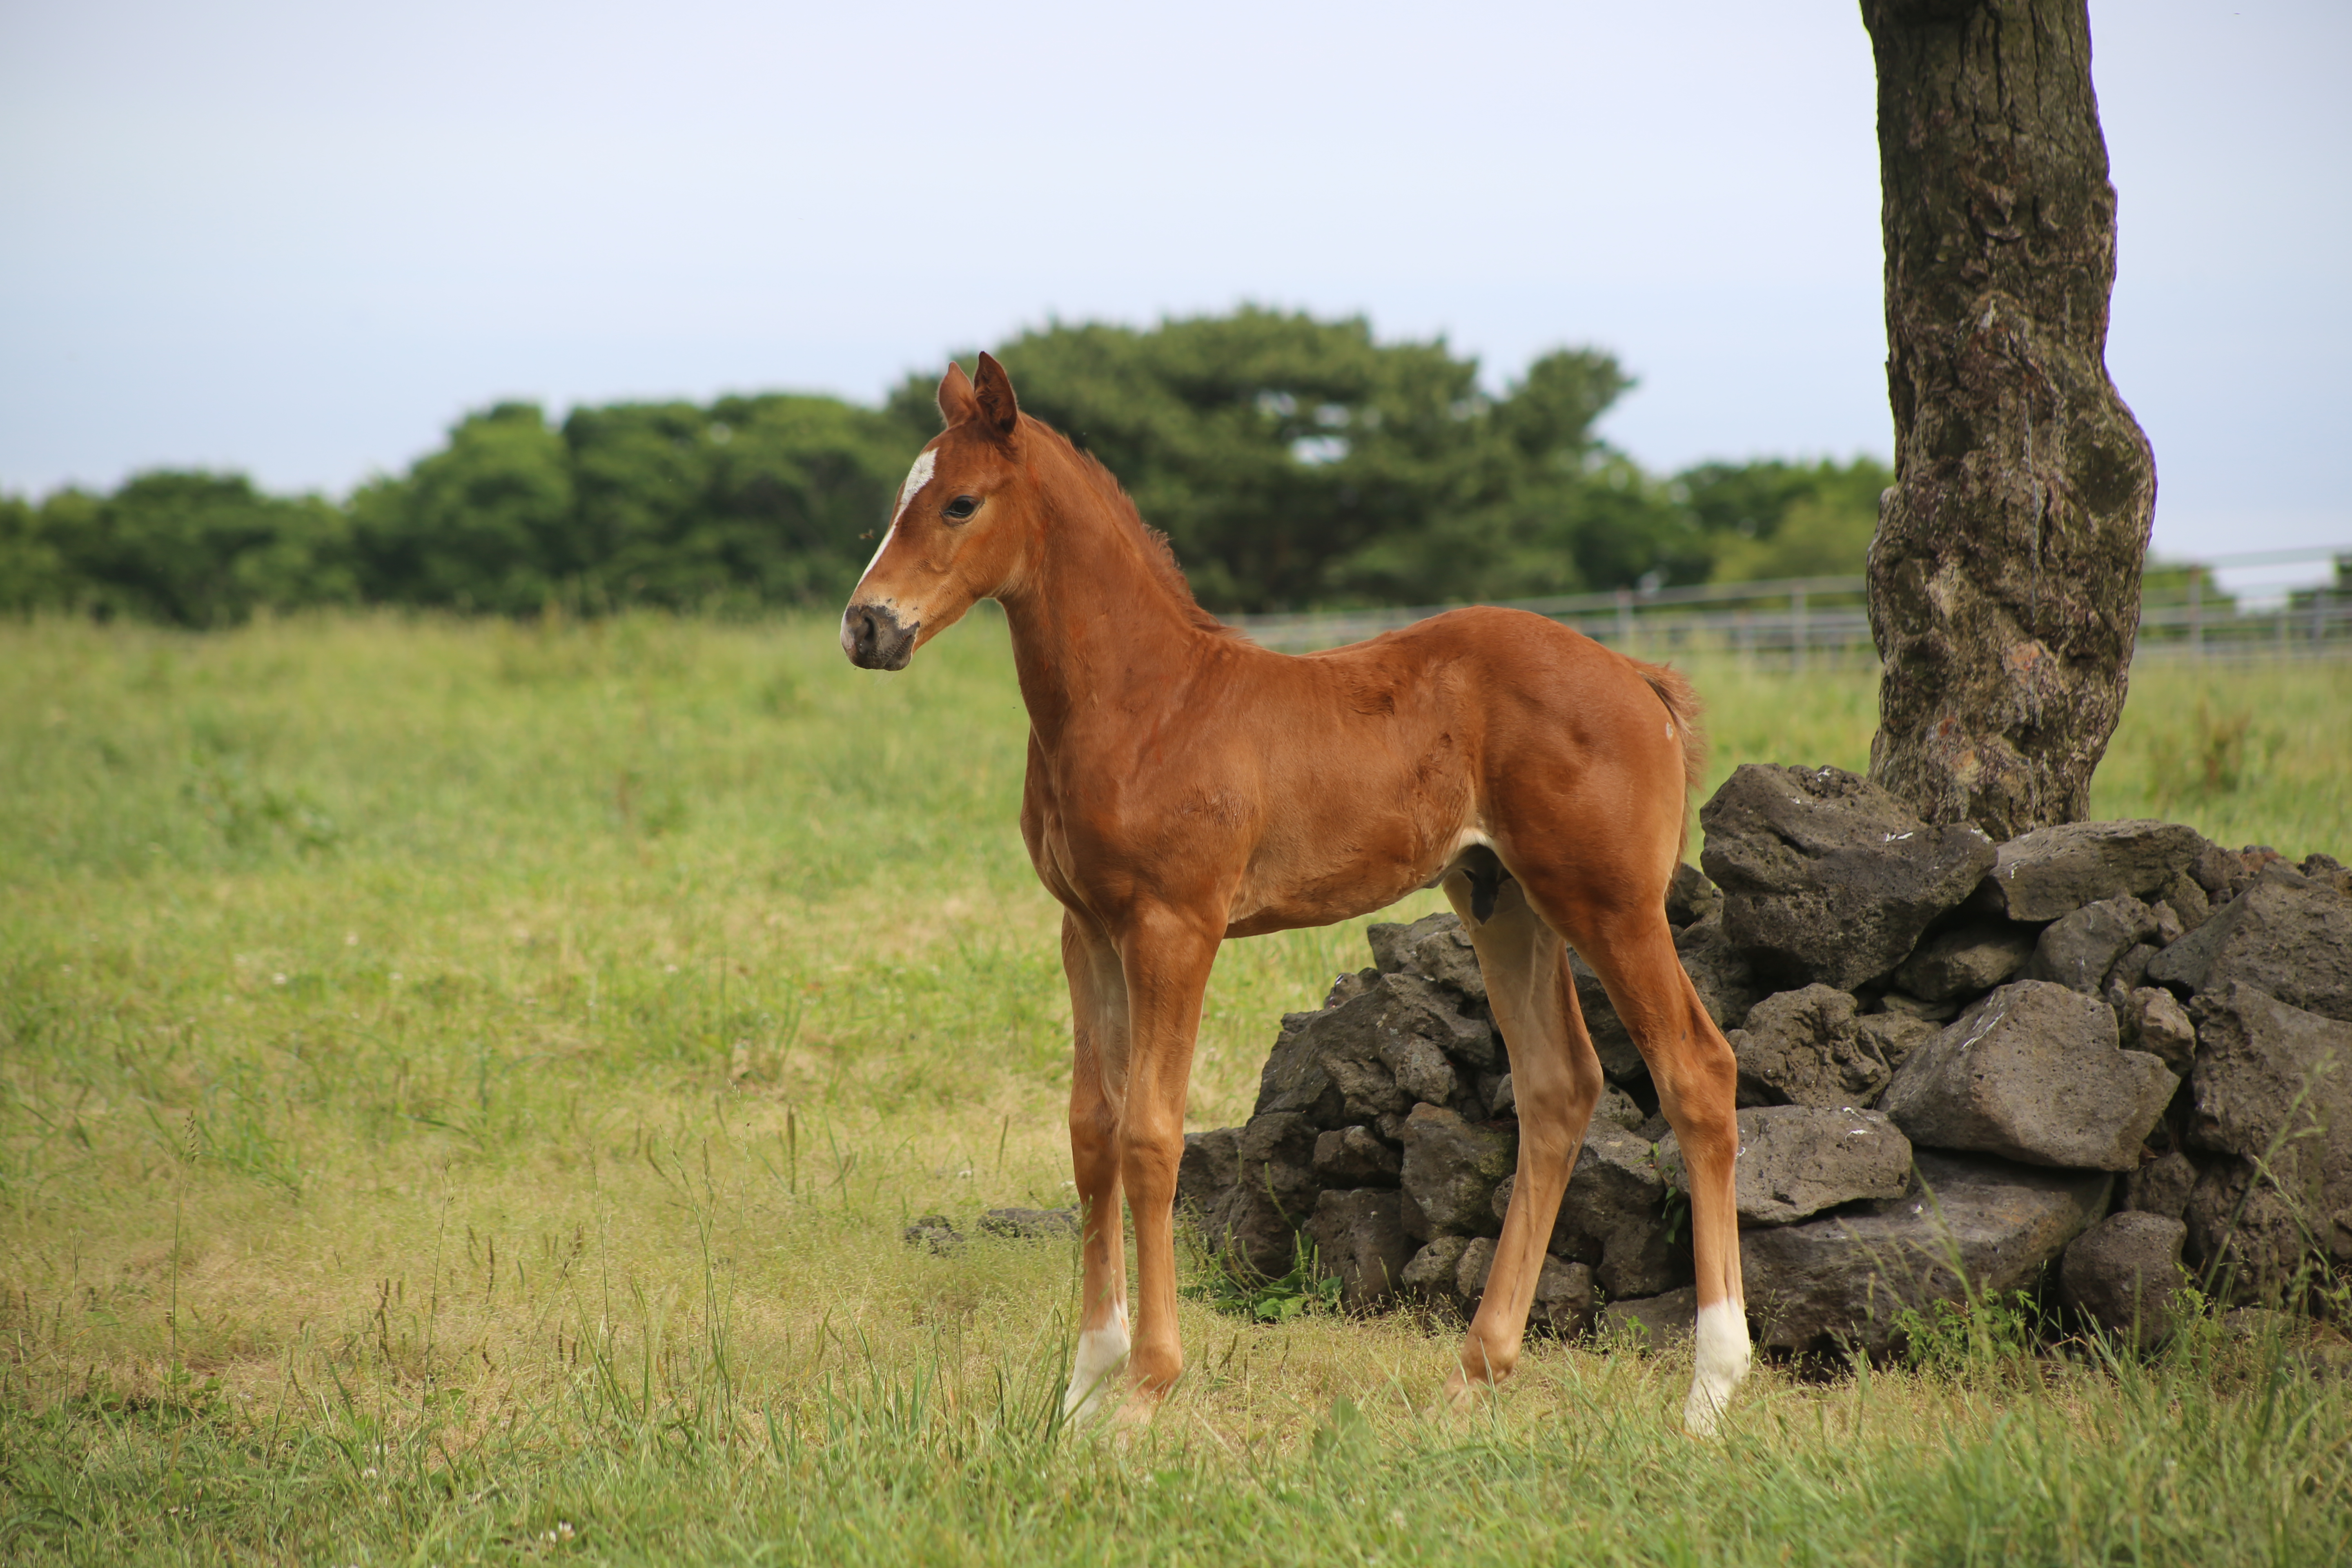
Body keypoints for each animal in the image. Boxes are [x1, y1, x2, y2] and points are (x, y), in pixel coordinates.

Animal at [842, 355, 1750, 1439]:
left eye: (959, 503)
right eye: (902, 497)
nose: (866, 626)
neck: (1146, 703)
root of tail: (1638, 678)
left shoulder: (1175, 927)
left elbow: (1151, 1136)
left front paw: (1144, 1387)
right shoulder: (1086, 930)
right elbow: (1091, 1131)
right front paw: (1082, 1388)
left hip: (1609, 901)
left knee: (1696, 1071)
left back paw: (1710, 1390)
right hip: (1503, 899)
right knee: (1558, 1086)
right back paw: (1476, 1369)